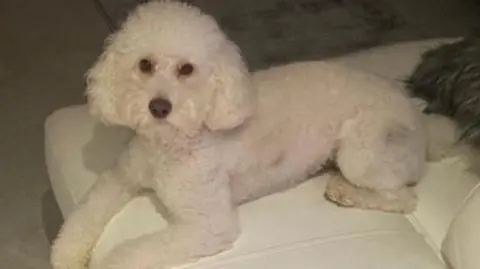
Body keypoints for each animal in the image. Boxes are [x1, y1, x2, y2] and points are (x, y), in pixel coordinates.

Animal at [52, 1, 428, 266]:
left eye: (186, 69)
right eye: (144, 64)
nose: (158, 107)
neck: (171, 143)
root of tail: (414, 111)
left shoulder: (208, 226)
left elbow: (132, 253)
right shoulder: (121, 176)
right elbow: (84, 214)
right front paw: (65, 254)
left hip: (361, 153)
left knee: (404, 197)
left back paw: (348, 193)